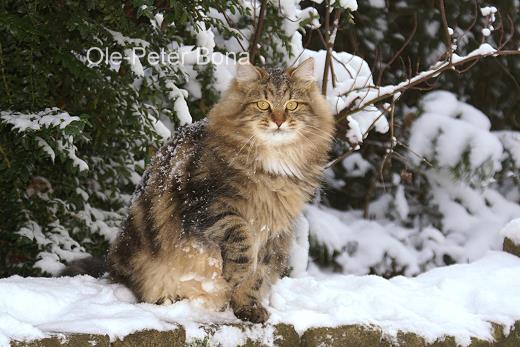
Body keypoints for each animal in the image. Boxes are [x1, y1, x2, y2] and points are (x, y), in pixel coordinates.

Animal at [75, 57, 336, 324]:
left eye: (292, 105)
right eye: (263, 105)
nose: (279, 121)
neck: (273, 167)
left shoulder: (274, 231)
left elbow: (256, 277)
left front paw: (248, 308)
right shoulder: (206, 203)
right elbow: (240, 236)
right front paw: (234, 273)